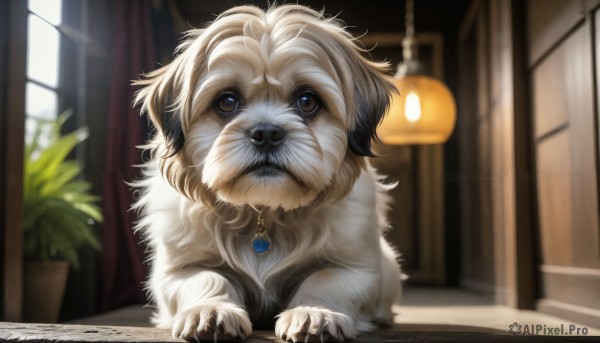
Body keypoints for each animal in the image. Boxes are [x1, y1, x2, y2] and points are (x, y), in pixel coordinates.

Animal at [132, 4, 404, 342]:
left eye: (307, 101)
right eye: (227, 102)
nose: (266, 132)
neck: (265, 211)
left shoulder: (357, 268)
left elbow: (324, 279)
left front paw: (314, 313)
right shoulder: (176, 271)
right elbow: (209, 278)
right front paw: (211, 311)